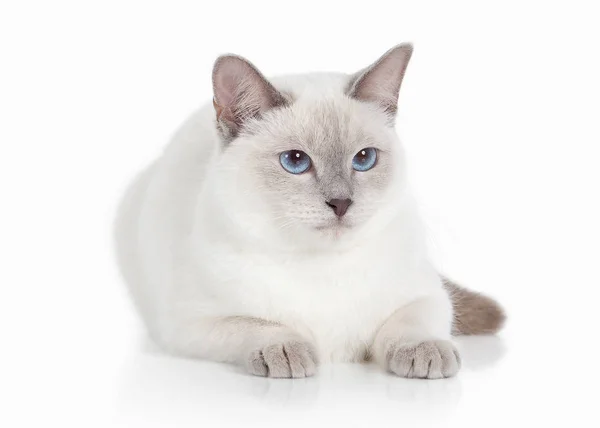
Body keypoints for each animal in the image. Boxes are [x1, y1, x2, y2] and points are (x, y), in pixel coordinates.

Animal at [115, 42, 504, 378]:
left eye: (364, 159)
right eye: (295, 161)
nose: (341, 203)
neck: (321, 267)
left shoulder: (426, 295)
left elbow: (410, 323)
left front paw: (425, 352)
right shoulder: (190, 325)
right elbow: (259, 325)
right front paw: (287, 353)